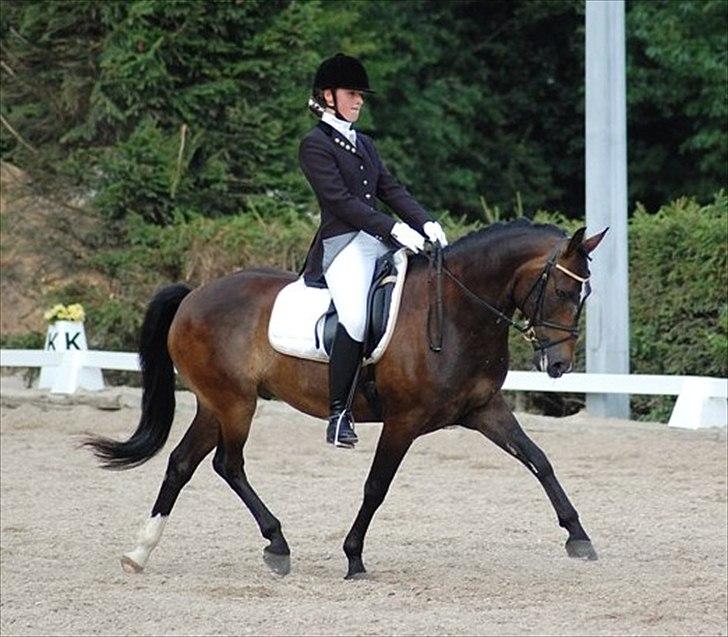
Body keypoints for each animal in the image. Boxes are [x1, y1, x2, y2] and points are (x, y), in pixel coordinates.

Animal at [85, 218, 607, 579]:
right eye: (563, 290)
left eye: (585, 295)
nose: (558, 366)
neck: (457, 313)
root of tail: (194, 296)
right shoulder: (404, 421)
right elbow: (376, 487)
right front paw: (354, 557)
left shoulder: (483, 409)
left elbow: (539, 460)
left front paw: (580, 538)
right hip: (235, 403)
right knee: (227, 465)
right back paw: (277, 545)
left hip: (217, 404)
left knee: (182, 463)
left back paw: (139, 551)